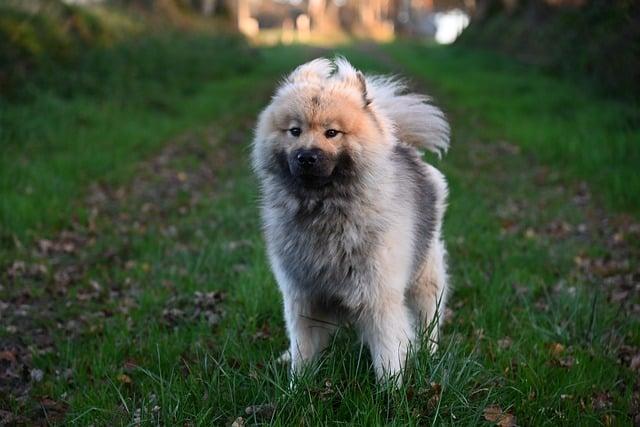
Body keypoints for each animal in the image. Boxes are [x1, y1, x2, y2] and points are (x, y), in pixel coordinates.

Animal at [250, 57, 450, 384]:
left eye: (332, 133)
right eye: (295, 131)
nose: (306, 157)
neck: (324, 209)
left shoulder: (379, 296)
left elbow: (388, 350)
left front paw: (391, 390)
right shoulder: (303, 297)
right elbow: (303, 348)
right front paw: (296, 386)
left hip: (424, 276)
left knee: (428, 322)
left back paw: (429, 356)